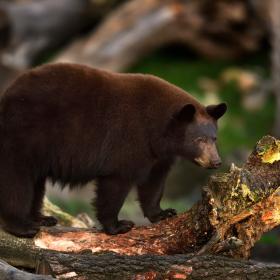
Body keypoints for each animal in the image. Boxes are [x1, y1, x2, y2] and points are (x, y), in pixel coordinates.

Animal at [0, 63, 226, 236]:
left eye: (214, 138)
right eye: (199, 139)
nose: (216, 162)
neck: (158, 128)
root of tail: (7, 95)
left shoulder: (158, 154)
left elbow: (154, 182)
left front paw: (162, 213)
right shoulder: (128, 139)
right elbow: (116, 182)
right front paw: (118, 225)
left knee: (35, 182)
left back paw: (41, 218)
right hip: (25, 134)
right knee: (16, 181)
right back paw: (23, 226)